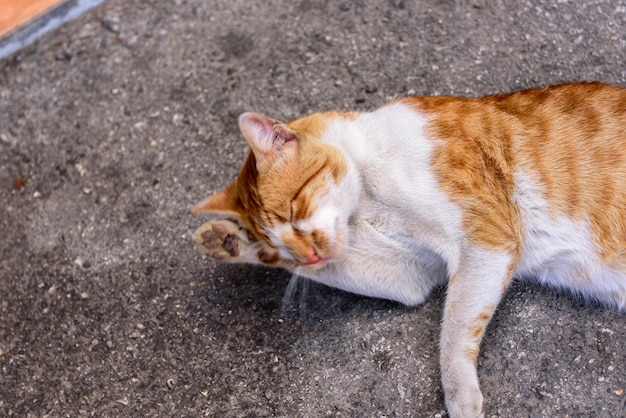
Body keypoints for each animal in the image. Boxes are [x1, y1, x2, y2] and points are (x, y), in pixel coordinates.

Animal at [190, 82, 624, 418]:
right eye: (279, 248)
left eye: (295, 209)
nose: (309, 256)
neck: (367, 199)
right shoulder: (414, 273)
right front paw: (231, 241)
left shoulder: (488, 238)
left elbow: (454, 332)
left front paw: (460, 397)